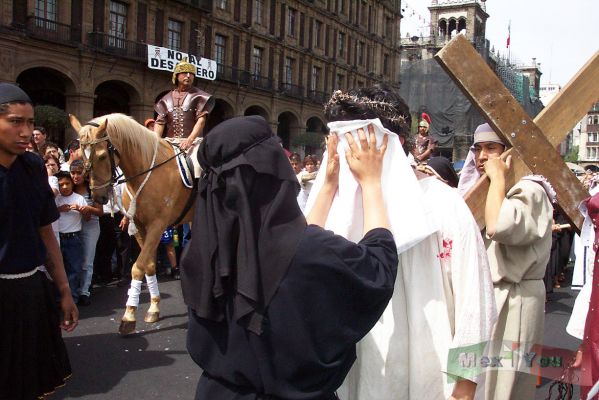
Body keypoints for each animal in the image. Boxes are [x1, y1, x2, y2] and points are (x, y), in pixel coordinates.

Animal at [69, 112, 195, 334]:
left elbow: (137, 267)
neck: (149, 171)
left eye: (102, 156)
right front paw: (153, 308)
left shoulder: (157, 226)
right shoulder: (139, 227)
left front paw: (128, 316)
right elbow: (149, 266)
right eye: (82, 157)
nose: (99, 197)